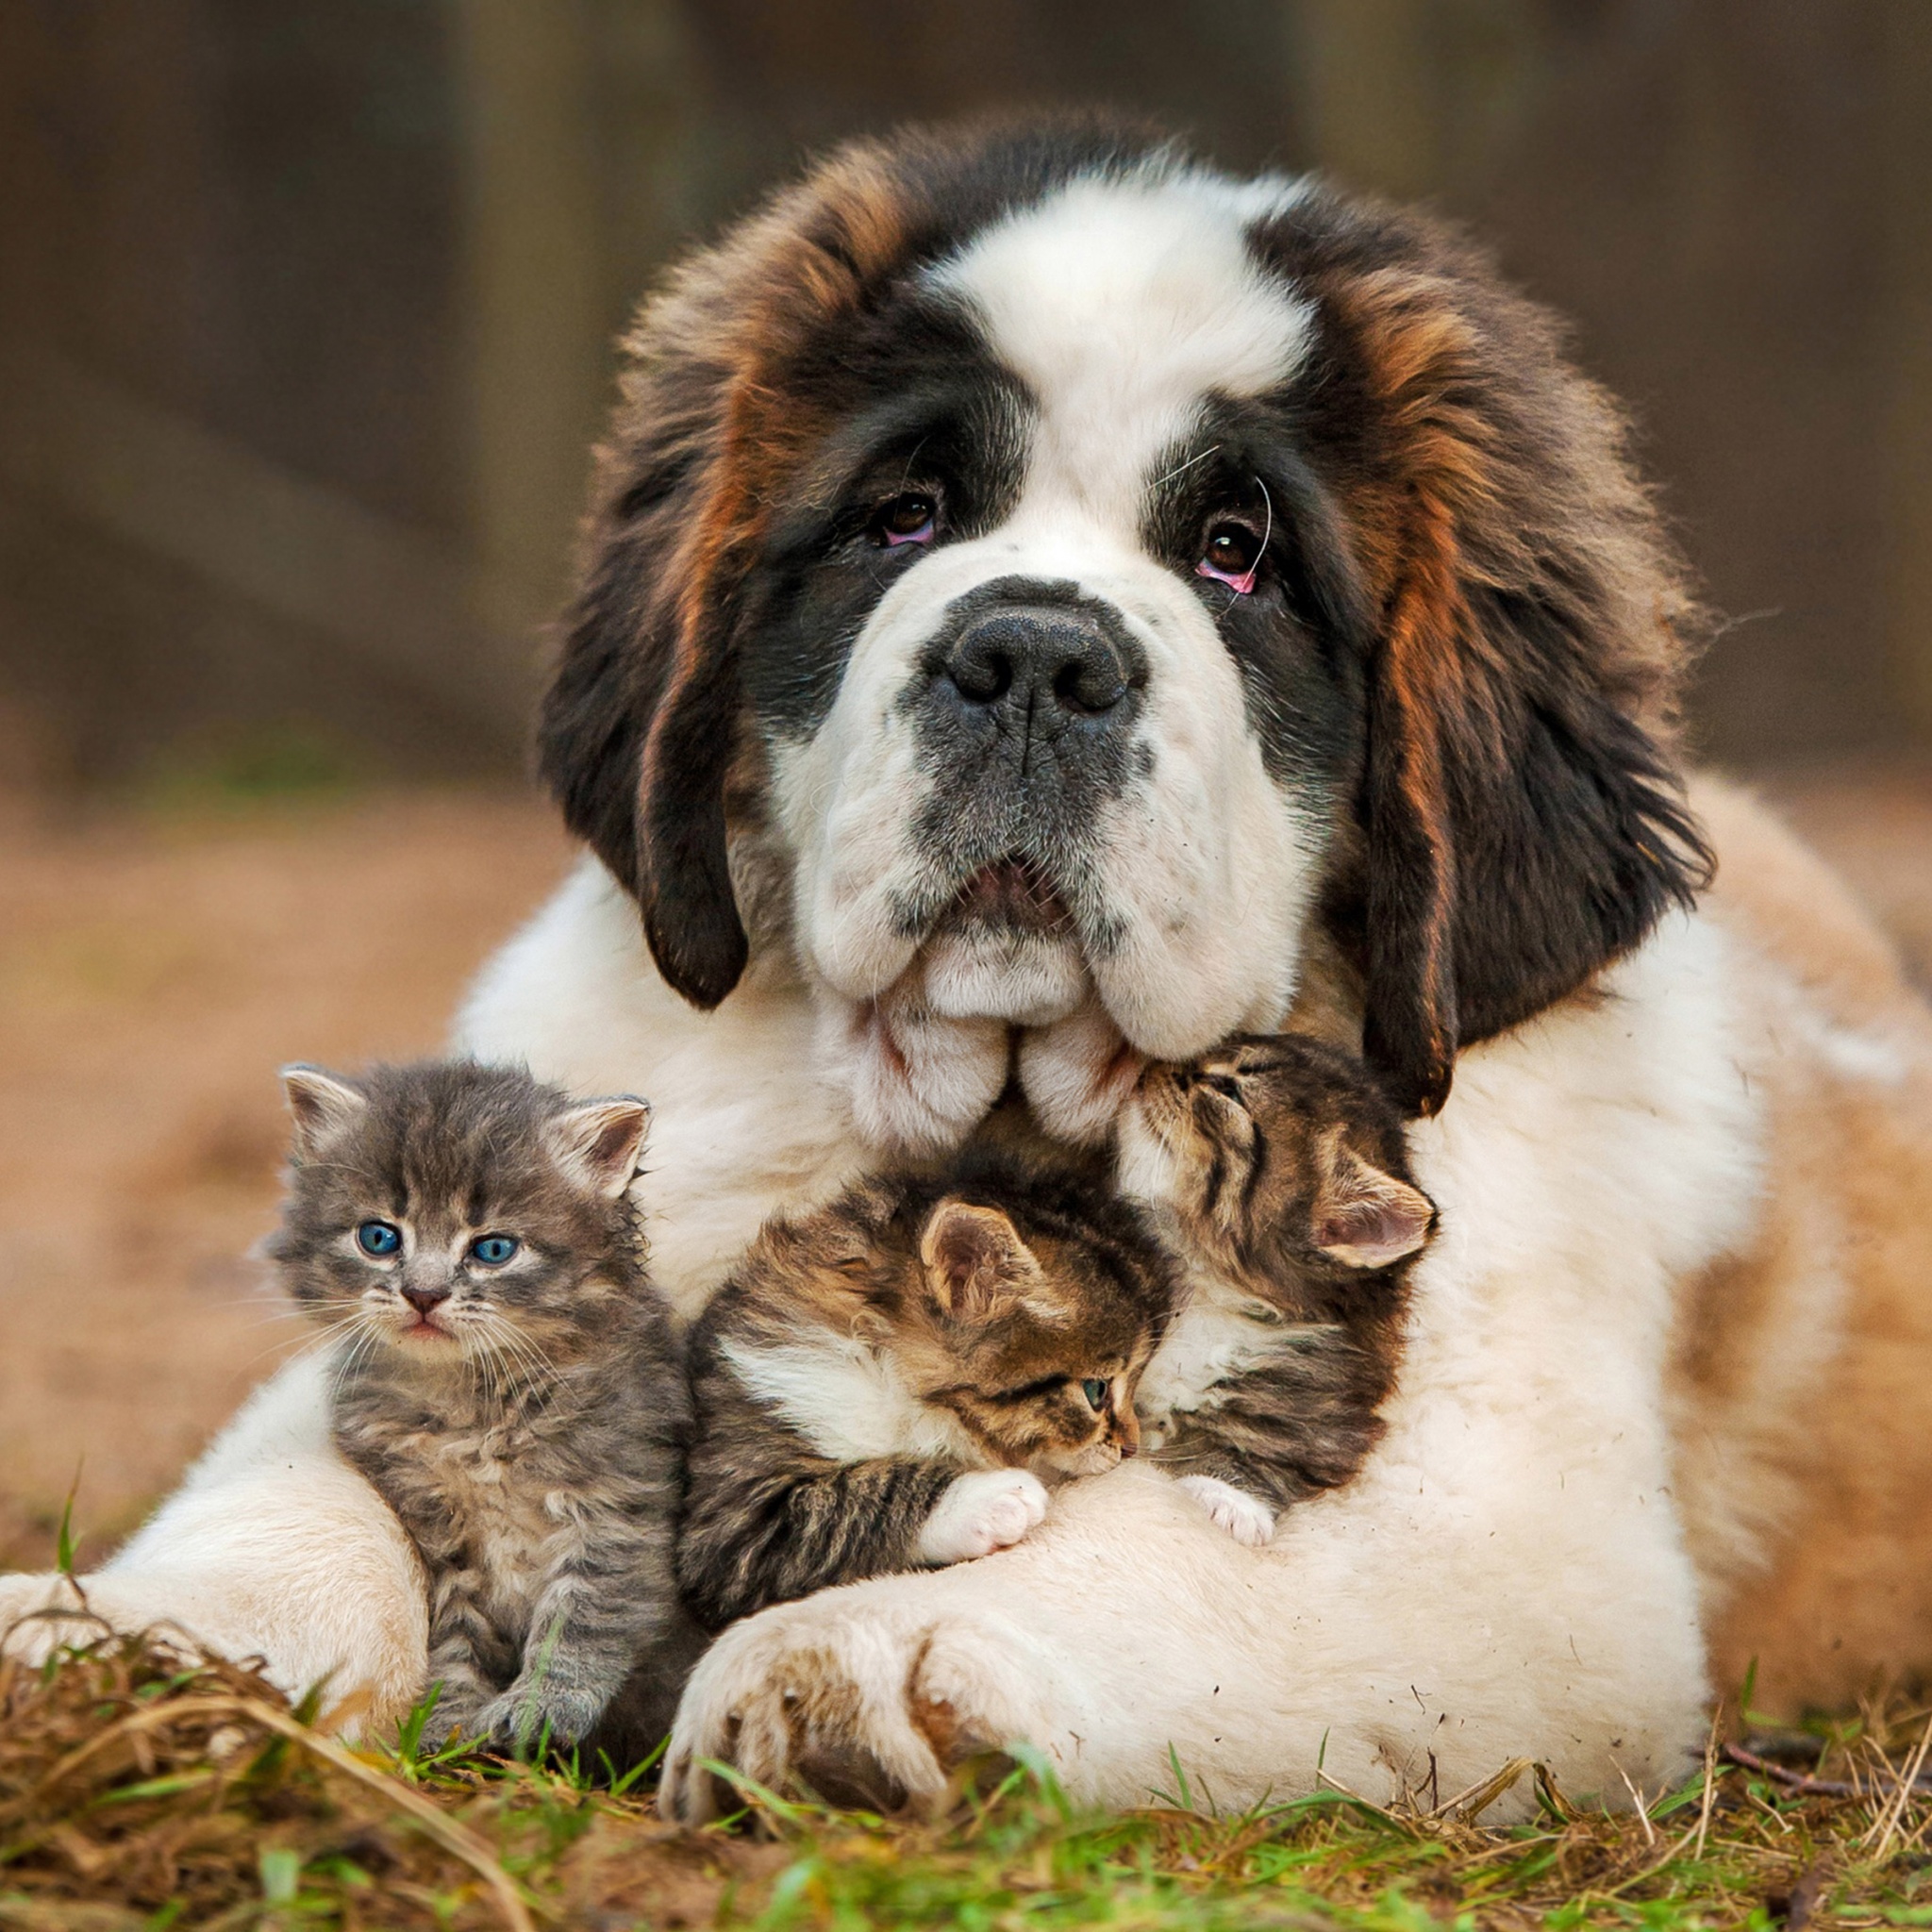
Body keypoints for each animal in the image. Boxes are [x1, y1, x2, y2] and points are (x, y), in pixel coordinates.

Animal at [268, 1058, 699, 1769]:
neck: (469, 1406)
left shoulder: (616, 1505)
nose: (423, 1293)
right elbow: (453, 1636)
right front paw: (447, 1721)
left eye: (493, 1250)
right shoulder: (438, 1535)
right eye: (378, 1238)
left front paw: (541, 1708)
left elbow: (582, 1617)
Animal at [679, 1151, 1174, 1638]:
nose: (1131, 1447)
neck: (892, 1382)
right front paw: (988, 1499)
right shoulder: (733, 1527)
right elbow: (856, 1496)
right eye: (1096, 1390)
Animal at [1120, 1035, 1437, 1545]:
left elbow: (1267, 1451)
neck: (1206, 1290)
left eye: (1229, 1090)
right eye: (1224, 1047)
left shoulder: (1321, 1410)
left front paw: (1231, 1500)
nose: (1156, 1066)